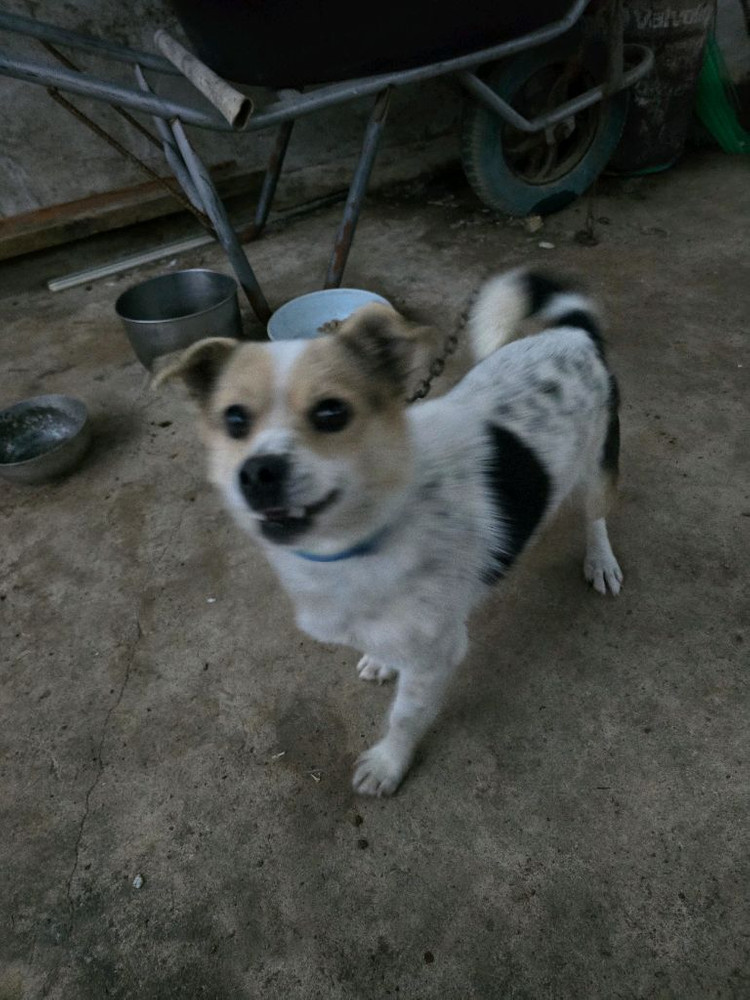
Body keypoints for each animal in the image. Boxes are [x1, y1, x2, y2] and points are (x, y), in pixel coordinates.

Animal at [157, 269, 623, 796]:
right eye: (234, 419)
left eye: (332, 413)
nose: (257, 473)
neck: (364, 537)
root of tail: (573, 333)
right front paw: (381, 662)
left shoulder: (436, 655)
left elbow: (405, 715)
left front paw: (387, 764)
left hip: (597, 470)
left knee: (596, 515)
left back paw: (601, 561)